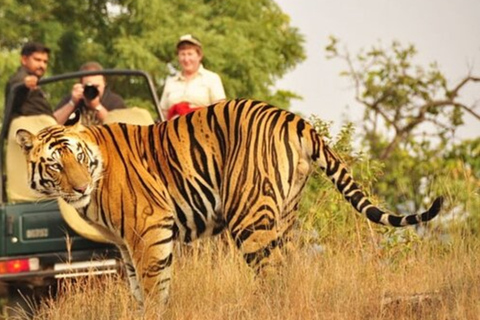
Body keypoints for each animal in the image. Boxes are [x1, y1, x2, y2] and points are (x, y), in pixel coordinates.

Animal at [15, 99, 442, 304]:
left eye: (77, 157)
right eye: (55, 164)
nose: (79, 188)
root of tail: (294, 118)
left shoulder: (149, 231)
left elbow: (155, 290)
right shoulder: (125, 245)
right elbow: (139, 291)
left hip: (249, 217)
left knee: (272, 274)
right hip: (284, 215)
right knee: (288, 269)